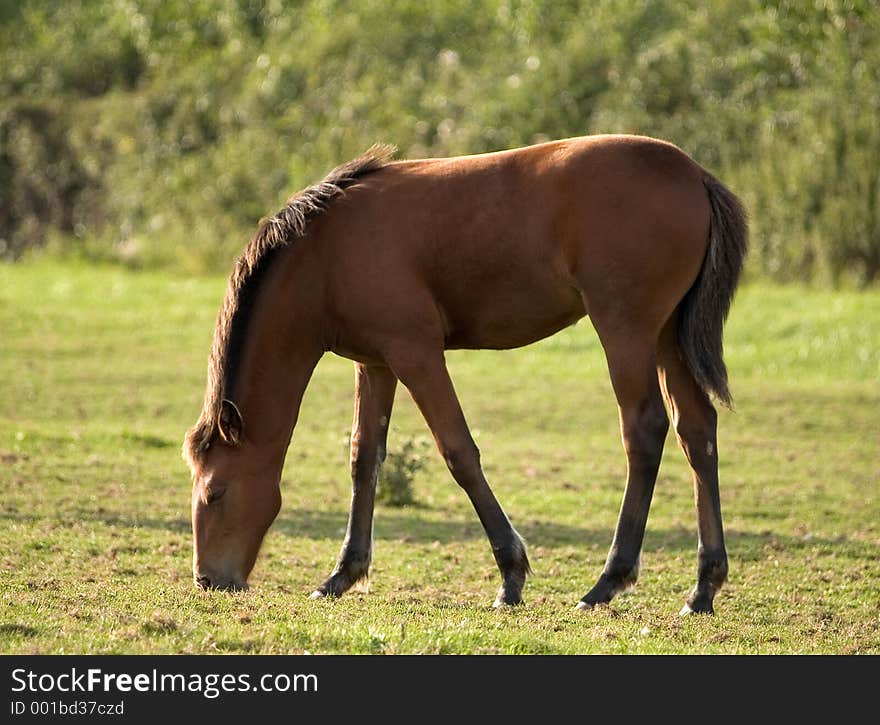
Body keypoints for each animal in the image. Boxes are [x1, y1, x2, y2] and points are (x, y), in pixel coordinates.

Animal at [186, 134, 748, 612]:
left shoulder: (416, 354)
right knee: (696, 431)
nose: (209, 580)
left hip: (626, 332)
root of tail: (694, 174)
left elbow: (458, 452)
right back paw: (703, 586)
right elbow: (365, 459)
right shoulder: (376, 363)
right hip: (667, 338)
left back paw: (608, 581)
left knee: (644, 431)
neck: (325, 252)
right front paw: (342, 575)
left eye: (215, 493)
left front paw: (511, 575)